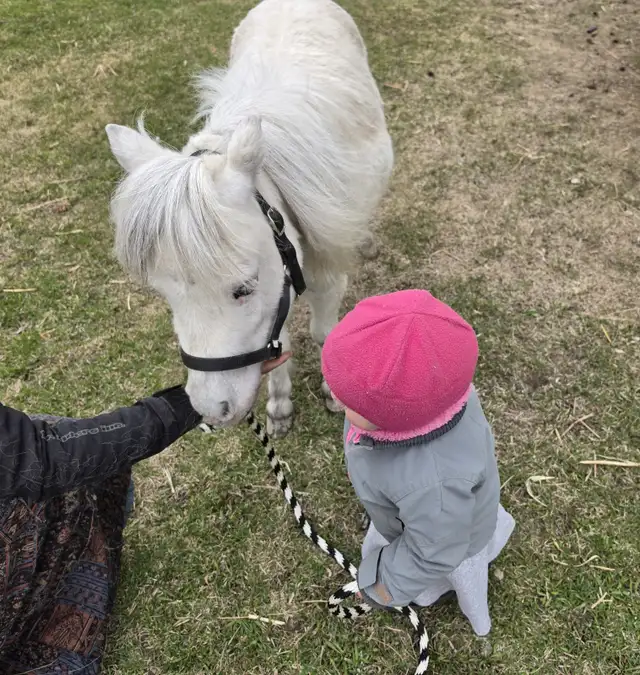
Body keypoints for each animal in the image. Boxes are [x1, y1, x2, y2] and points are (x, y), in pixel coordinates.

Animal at [105, 0, 393, 437]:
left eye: (243, 288)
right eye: (163, 294)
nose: (212, 410)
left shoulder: (322, 267)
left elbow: (324, 332)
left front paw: (334, 391)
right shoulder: (280, 282)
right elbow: (280, 341)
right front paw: (279, 405)